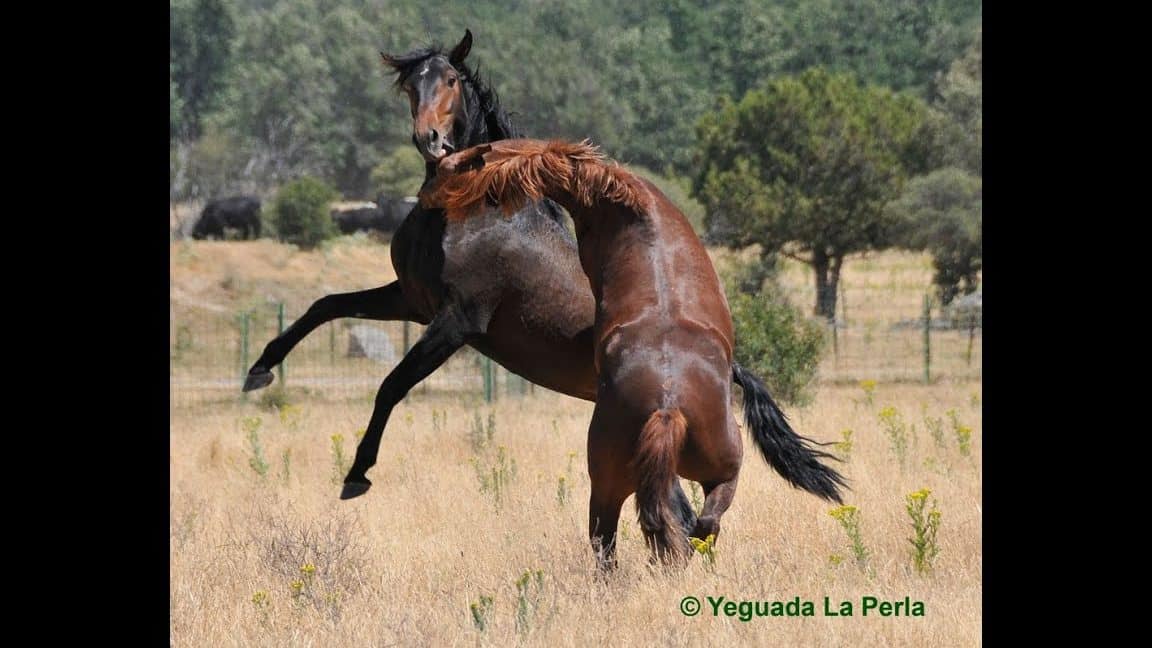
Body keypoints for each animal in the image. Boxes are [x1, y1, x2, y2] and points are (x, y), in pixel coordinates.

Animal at [428, 138, 852, 562]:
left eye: (462, 166)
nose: (435, 186)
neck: (632, 211)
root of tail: (667, 406)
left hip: (632, 481)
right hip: (691, 476)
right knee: (682, 528)